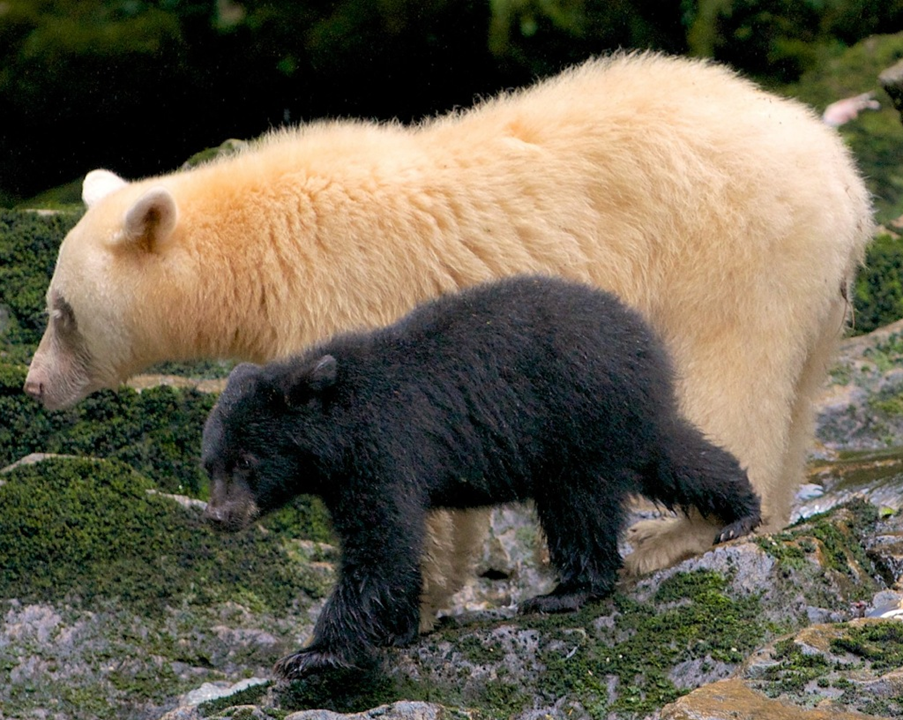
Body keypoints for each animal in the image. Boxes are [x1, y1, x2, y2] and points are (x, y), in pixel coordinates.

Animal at [201, 274, 760, 676]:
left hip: (576, 414)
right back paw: (739, 512)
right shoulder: (346, 475)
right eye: (209, 465)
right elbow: (392, 547)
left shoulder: (383, 449)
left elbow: (381, 542)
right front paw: (398, 628)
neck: (338, 420)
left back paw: (565, 591)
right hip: (618, 418)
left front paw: (313, 654)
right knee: (670, 454)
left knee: (579, 505)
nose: (219, 516)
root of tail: (644, 335)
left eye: (245, 461)